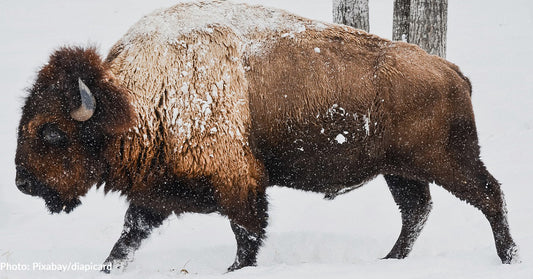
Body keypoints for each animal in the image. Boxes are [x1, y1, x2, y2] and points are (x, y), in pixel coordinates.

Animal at [14, 0, 516, 274]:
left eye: (52, 131)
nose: (22, 183)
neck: (135, 97)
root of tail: (451, 71)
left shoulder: (240, 185)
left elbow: (247, 237)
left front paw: (235, 270)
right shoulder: (156, 193)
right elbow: (127, 239)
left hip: (449, 161)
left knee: (489, 196)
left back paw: (507, 257)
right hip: (400, 171)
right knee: (416, 211)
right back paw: (390, 261)